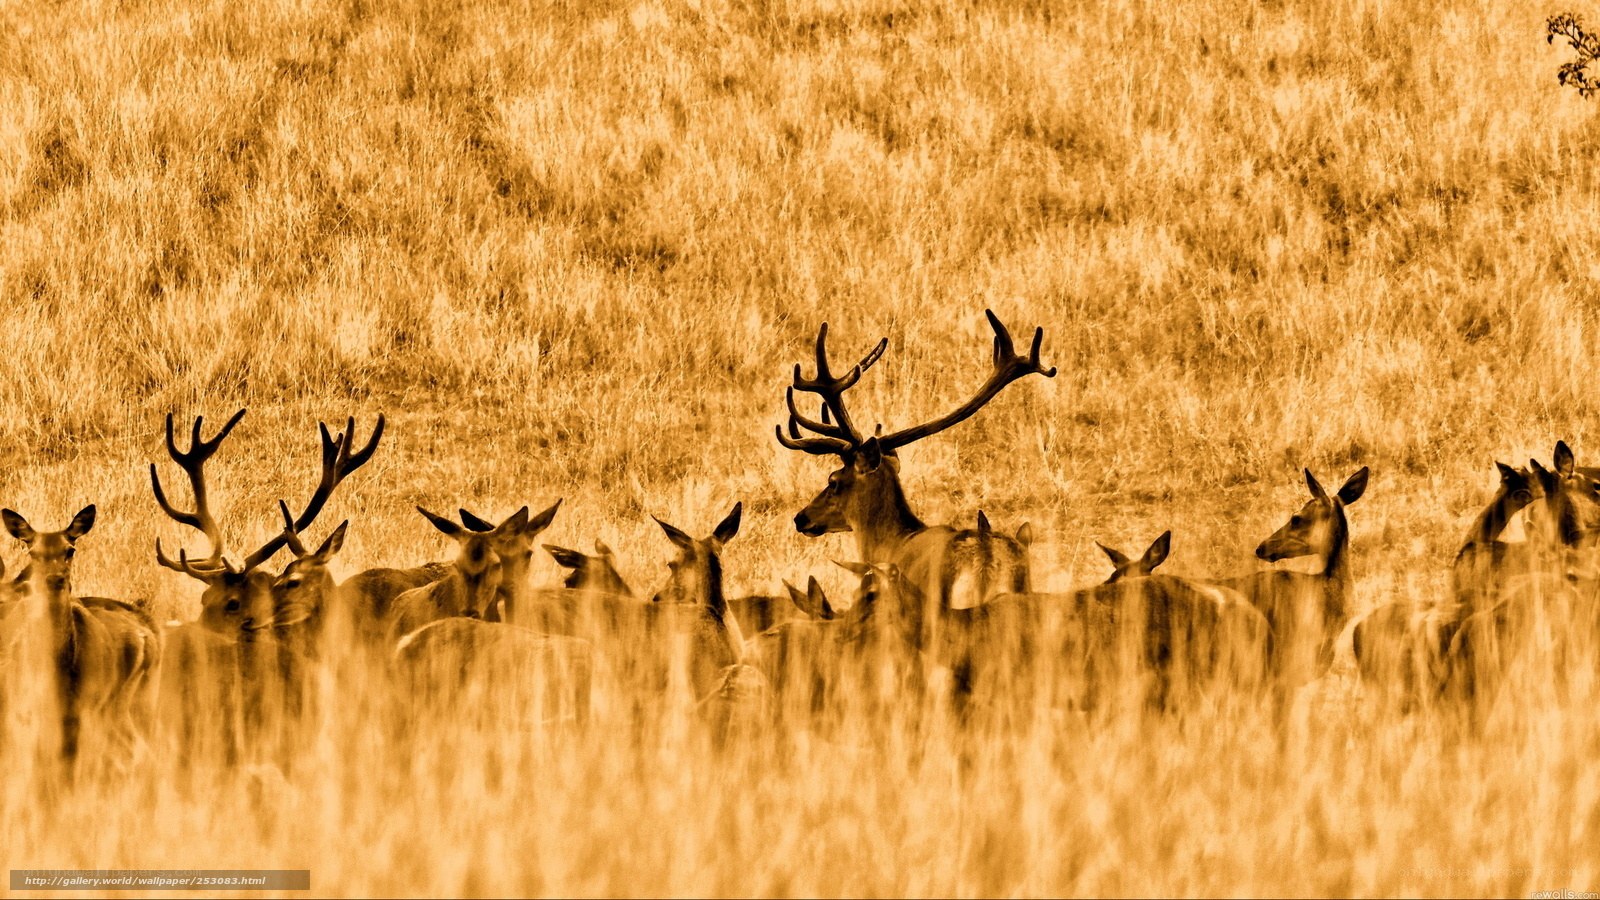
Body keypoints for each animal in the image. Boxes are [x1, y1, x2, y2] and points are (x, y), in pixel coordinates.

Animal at [0, 505, 161, 769]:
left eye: (70, 549)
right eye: (33, 552)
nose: (55, 579)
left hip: (112, 705)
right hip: (141, 698)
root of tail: (147, 634)